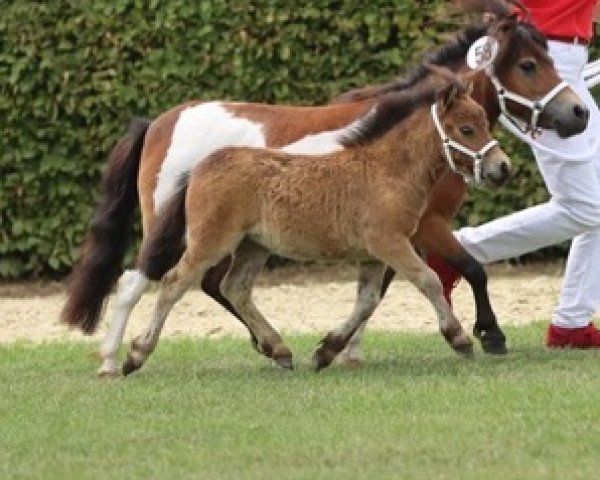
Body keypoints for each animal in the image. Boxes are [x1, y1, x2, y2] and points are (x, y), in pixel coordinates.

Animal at [119, 74, 512, 376]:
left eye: (485, 121)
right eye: (467, 129)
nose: (502, 167)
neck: (386, 169)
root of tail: (200, 167)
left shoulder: (373, 255)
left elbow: (367, 301)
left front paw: (327, 351)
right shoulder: (391, 242)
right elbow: (428, 281)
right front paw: (460, 339)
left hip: (253, 246)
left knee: (235, 288)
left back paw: (279, 349)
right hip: (212, 242)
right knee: (174, 283)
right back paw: (134, 356)